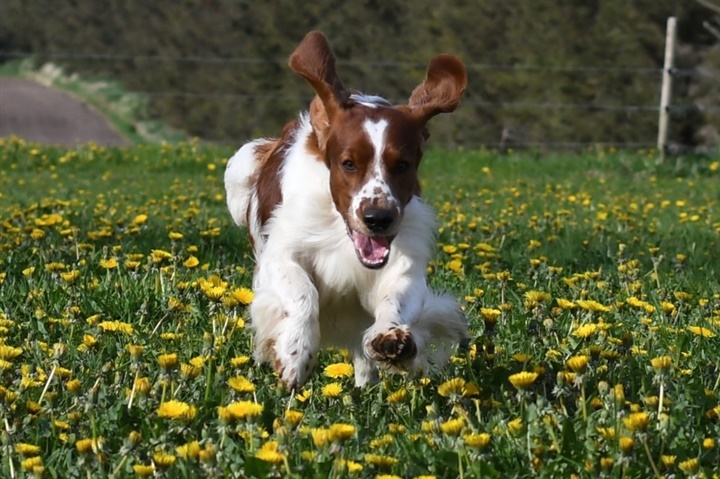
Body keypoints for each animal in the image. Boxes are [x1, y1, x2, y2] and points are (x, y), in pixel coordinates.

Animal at [226, 31, 472, 390]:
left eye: (402, 165)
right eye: (348, 163)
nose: (378, 219)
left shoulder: (404, 256)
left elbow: (396, 297)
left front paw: (392, 339)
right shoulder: (281, 251)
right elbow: (301, 292)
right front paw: (295, 354)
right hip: (239, 169)